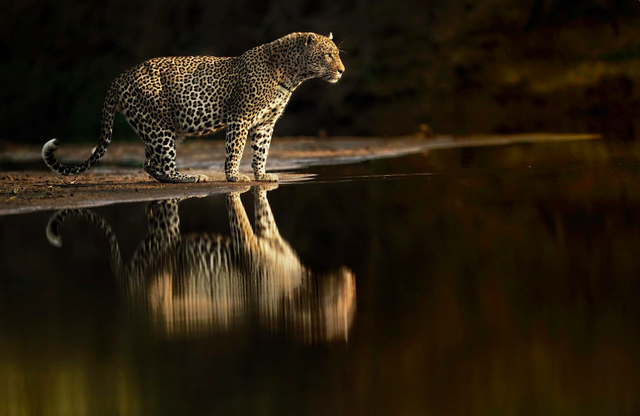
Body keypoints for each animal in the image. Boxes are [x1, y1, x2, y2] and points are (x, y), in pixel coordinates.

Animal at [42, 30, 344, 184]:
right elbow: (235, 150)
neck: (293, 75)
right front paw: (234, 177)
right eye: (328, 55)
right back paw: (189, 177)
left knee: (149, 164)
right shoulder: (240, 117)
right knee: (164, 164)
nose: (342, 70)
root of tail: (121, 77)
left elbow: (261, 152)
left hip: (154, 127)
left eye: (337, 54)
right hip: (159, 127)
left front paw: (261, 175)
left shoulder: (265, 124)